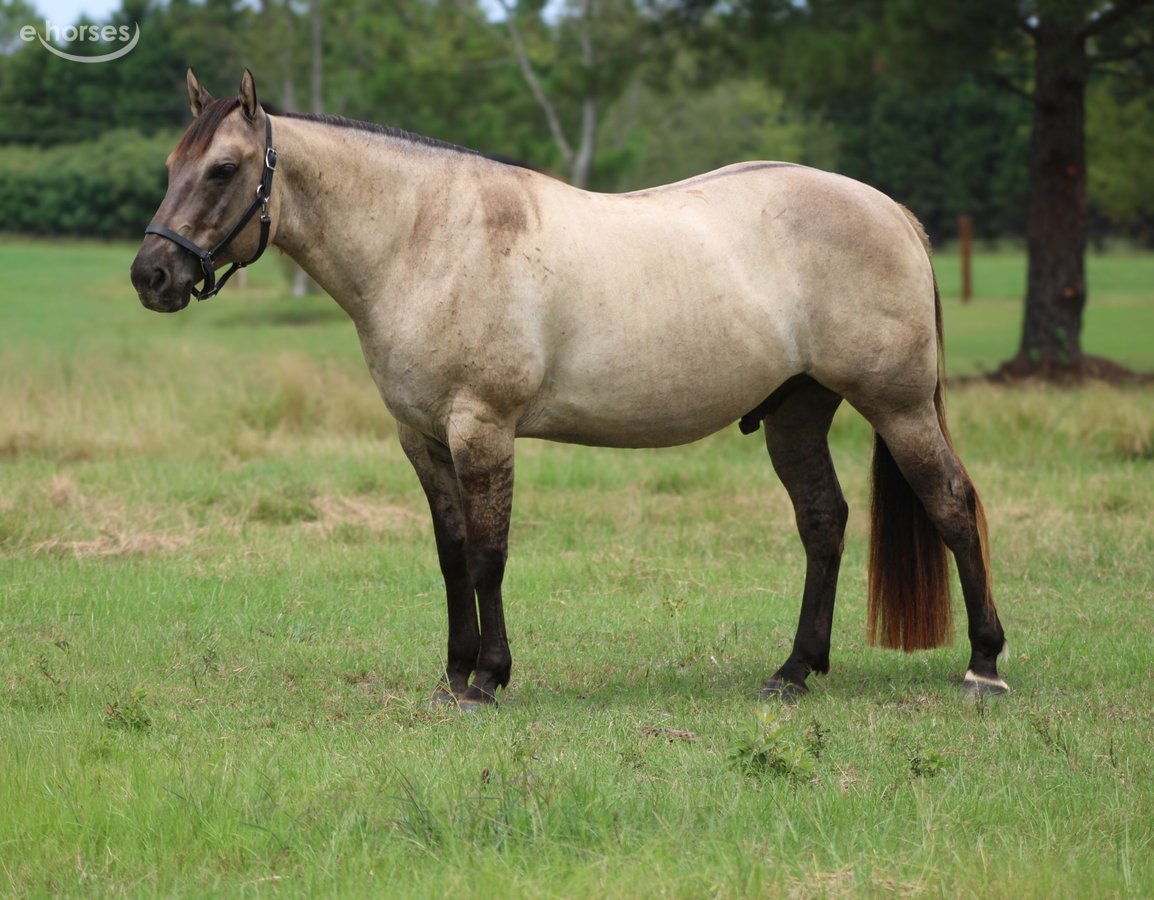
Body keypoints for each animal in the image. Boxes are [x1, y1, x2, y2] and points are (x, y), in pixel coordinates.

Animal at [131, 70, 1009, 708]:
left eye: (223, 169)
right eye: (171, 167)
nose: (152, 275)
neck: (428, 238)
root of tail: (891, 210)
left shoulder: (480, 429)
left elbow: (488, 557)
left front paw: (488, 678)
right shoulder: (422, 439)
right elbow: (451, 556)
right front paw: (452, 674)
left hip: (897, 407)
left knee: (953, 506)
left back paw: (984, 666)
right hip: (798, 414)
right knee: (824, 523)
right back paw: (793, 671)